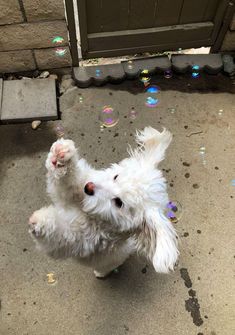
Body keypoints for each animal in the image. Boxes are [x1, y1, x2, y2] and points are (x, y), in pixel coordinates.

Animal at [29, 126, 179, 278]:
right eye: (116, 176)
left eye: (119, 202)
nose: (88, 187)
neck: (88, 211)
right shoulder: (75, 189)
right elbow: (69, 182)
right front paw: (62, 156)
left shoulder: (80, 240)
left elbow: (60, 235)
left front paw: (40, 222)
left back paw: (101, 273)